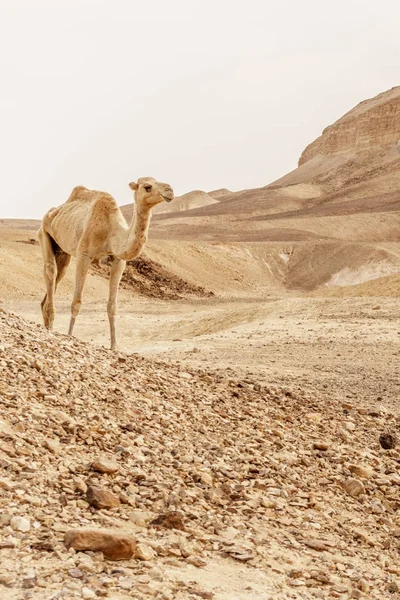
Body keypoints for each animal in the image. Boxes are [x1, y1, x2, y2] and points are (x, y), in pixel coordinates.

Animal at [37, 176, 173, 350]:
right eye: (147, 187)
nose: (169, 190)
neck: (111, 231)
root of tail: (52, 212)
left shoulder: (119, 260)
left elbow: (112, 306)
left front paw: (114, 346)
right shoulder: (84, 255)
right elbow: (76, 302)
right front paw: (69, 336)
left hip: (62, 250)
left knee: (58, 275)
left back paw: (47, 326)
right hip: (44, 232)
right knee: (51, 271)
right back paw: (51, 329)